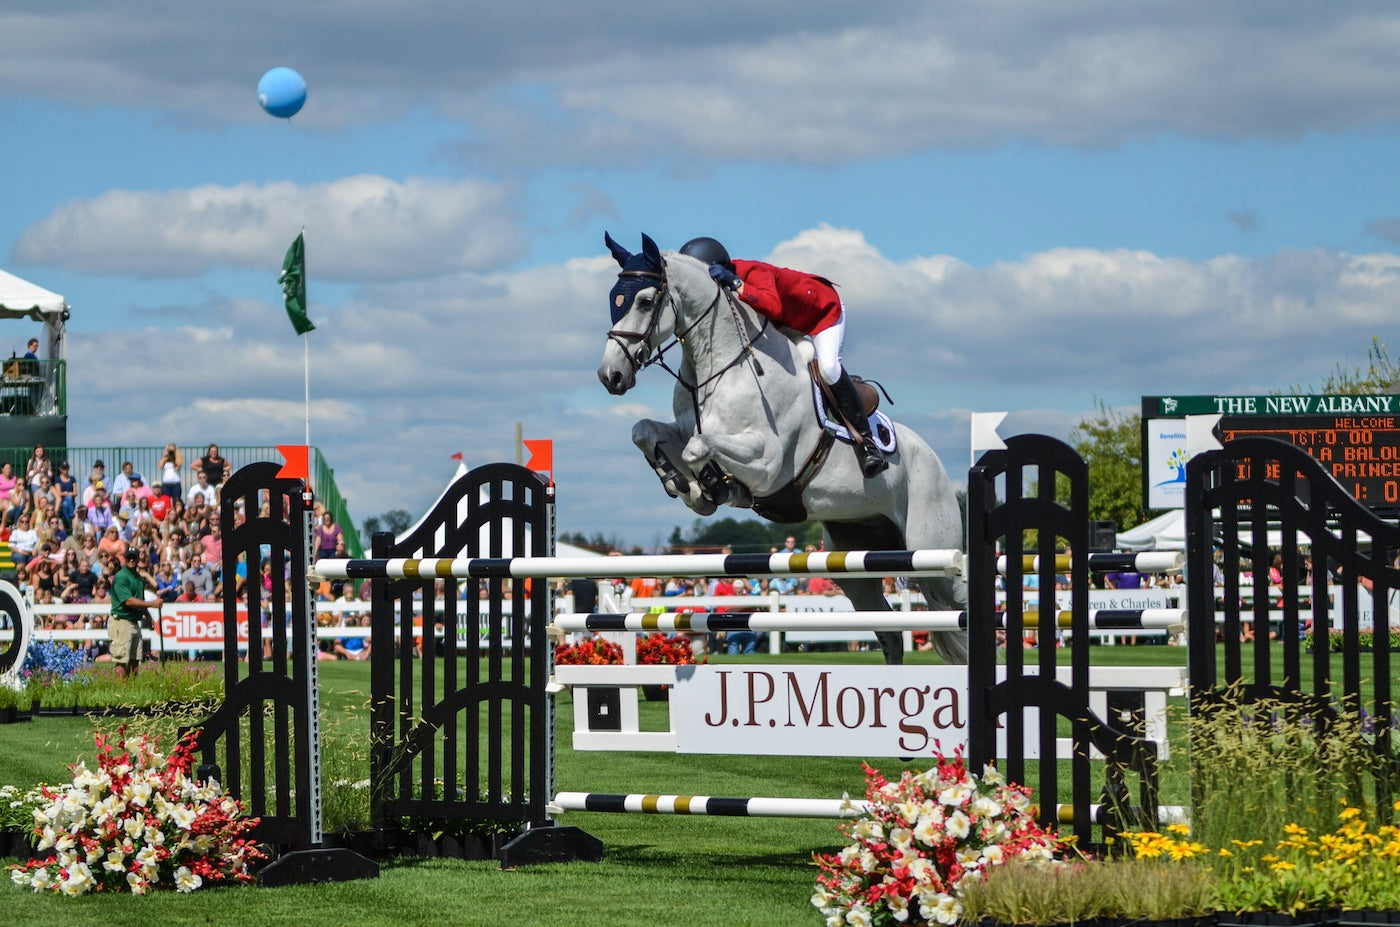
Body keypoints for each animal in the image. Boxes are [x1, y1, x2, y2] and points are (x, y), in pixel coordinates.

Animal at [590, 232, 963, 669]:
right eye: (613, 298)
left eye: (646, 301)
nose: (611, 376)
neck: (721, 365)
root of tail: (938, 465)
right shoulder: (681, 430)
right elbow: (644, 431)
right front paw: (684, 485)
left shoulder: (767, 465)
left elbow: (701, 448)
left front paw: (712, 488)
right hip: (854, 559)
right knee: (888, 632)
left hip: (933, 551)